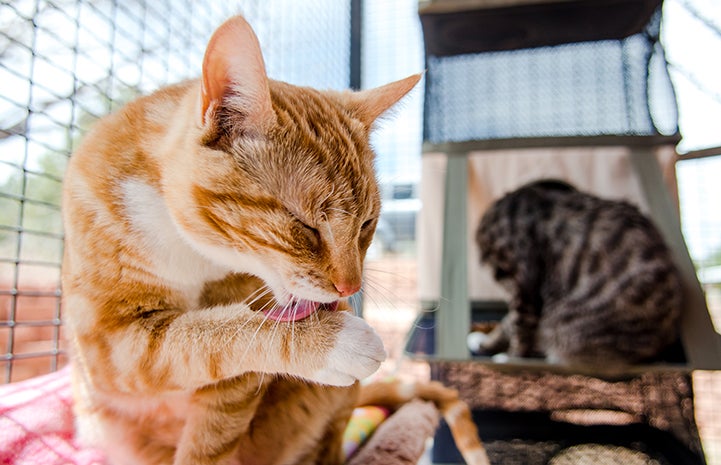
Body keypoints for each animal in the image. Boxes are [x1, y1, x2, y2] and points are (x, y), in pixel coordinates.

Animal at [62, 14, 490, 464]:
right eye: (304, 224)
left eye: (366, 225)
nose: (349, 287)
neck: (192, 253)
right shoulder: (110, 350)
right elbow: (199, 339)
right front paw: (329, 341)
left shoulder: (234, 387)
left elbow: (212, 426)